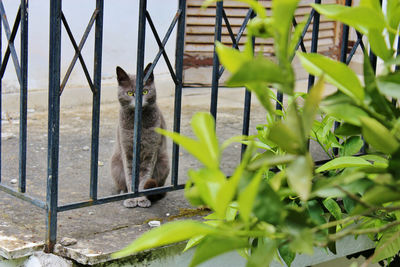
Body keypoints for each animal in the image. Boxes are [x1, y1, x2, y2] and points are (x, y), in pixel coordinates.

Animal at [110, 63, 170, 208]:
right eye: (130, 93)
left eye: (145, 92)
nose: (138, 101)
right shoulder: (126, 150)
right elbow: (130, 175)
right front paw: (131, 199)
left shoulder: (151, 150)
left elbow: (145, 177)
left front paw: (142, 199)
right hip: (115, 164)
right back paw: (123, 193)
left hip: (164, 162)